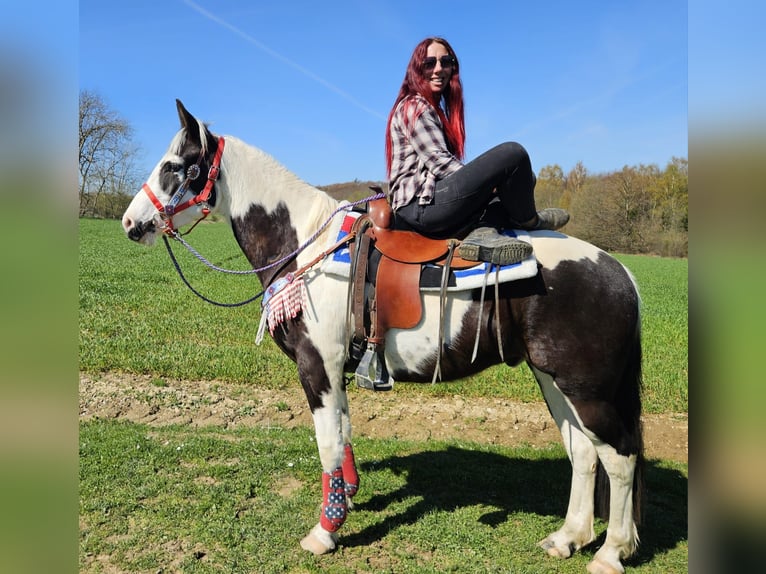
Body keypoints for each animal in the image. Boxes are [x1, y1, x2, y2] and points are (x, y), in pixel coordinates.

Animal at [122, 100, 644, 574]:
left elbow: (328, 443)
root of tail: (618, 271)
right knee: (583, 453)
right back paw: (568, 537)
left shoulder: (317, 365)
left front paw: (325, 531)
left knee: (619, 457)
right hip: (554, 380)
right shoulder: (336, 369)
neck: (305, 245)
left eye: (174, 166)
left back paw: (610, 553)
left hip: (586, 388)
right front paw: (347, 498)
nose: (130, 223)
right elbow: (344, 432)